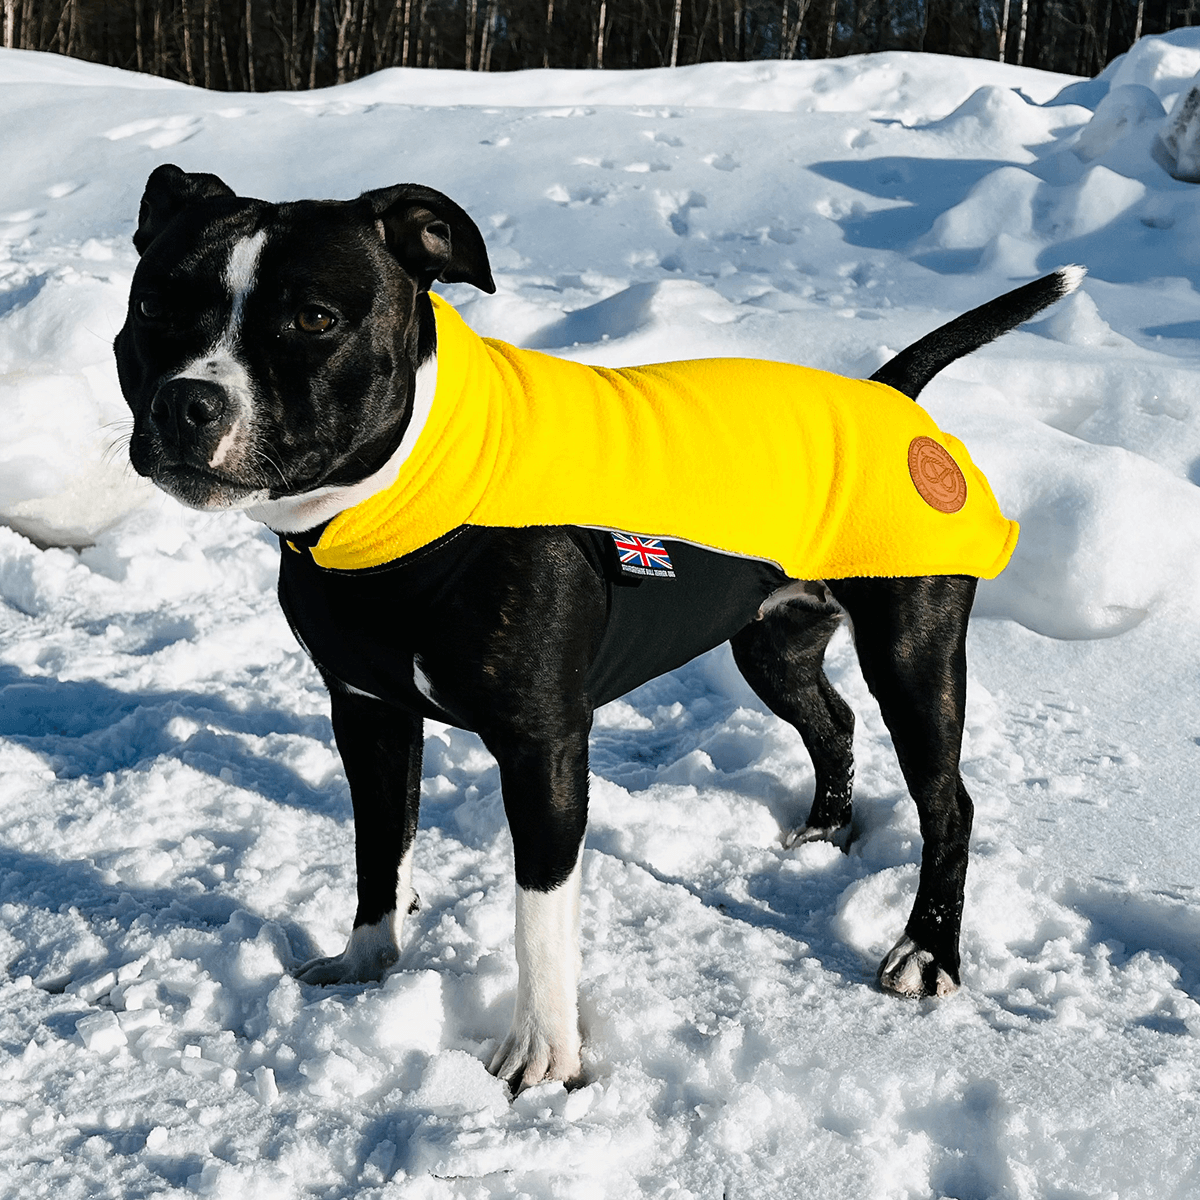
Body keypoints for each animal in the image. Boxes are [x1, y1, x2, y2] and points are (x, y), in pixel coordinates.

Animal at [117, 164, 1084, 1094]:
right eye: (155, 306)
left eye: (314, 318)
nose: (188, 403)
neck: (404, 495)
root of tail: (892, 399)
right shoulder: (367, 711)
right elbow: (377, 848)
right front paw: (366, 963)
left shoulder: (543, 745)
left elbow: (538, 916)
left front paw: (543, 1060)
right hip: (771, 643)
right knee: (833, 721)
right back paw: (821, 837)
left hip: (912, 652)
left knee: (947, 801)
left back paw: (927, 952)